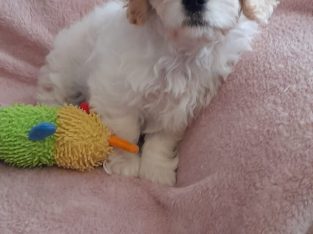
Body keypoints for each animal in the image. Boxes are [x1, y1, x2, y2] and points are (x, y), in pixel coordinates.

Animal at [36, 0, 278, 186]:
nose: (193, 2)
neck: (183, 51)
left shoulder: (180, 108)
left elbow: (162, 139)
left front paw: (156, 170)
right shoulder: (115, 90)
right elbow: (126, 132)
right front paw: (125, 165)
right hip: (66, 68)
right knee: (54, 90)